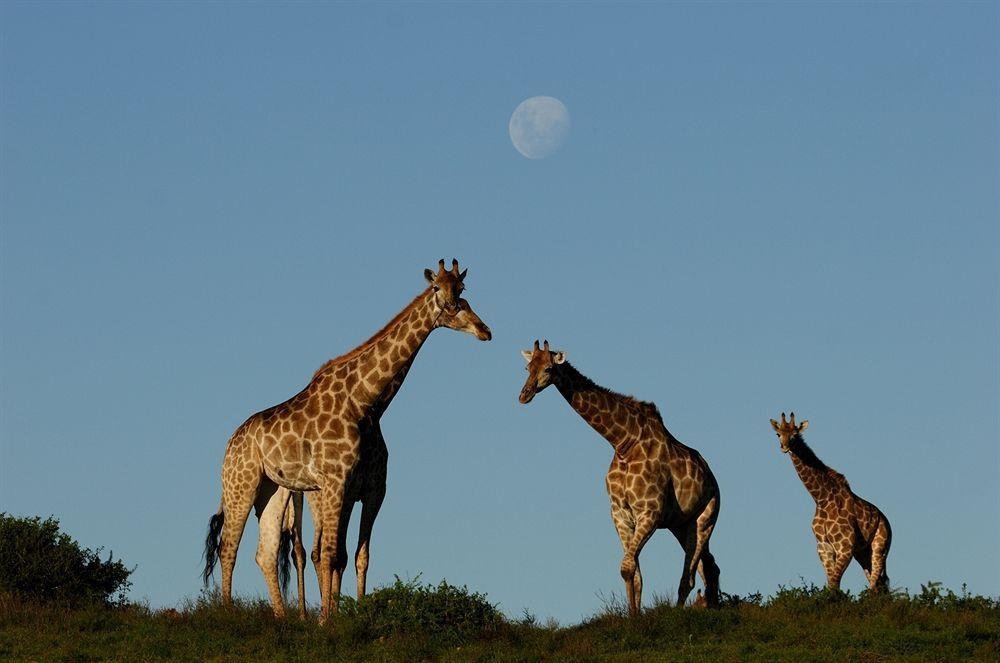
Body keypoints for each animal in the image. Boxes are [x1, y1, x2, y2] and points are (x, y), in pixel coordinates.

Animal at [201, 260, 490, 624]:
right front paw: (327, 620)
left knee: (265, 552)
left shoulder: (369, 490)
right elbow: (328, 553)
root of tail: (230, 442)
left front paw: (346, 614)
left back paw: (282, 618)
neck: (364, 402)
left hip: (272, 490)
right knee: (229, 546)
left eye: (462, 291)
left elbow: (353, 555)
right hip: (240, 485)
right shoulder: (336, 482)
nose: (484, 329)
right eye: (437, 288)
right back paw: (228, 613)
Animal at [520, 342, 724, 616]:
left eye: (548, 369)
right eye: (527, 368)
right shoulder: (620, 513)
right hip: (681, 524)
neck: (623, 443)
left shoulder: (650, 511)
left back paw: (680, 612)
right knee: (708, 567)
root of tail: (711, 477)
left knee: (690, 576)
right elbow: (633, 572)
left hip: (705, 517)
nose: (524, 395)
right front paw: (633, 616)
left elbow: (627, 567)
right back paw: (713, 606)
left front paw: (636, 618)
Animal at [768, 412, 896, 592]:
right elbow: (831, 584)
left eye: (794, 435)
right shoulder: (823, 547)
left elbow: (834, 584)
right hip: (863, 552)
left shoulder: (845, 547)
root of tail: (887, 522)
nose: (784, 448)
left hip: (880, 547)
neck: (821, 499)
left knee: (874, 584)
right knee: (878, 585)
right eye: (778, 434)